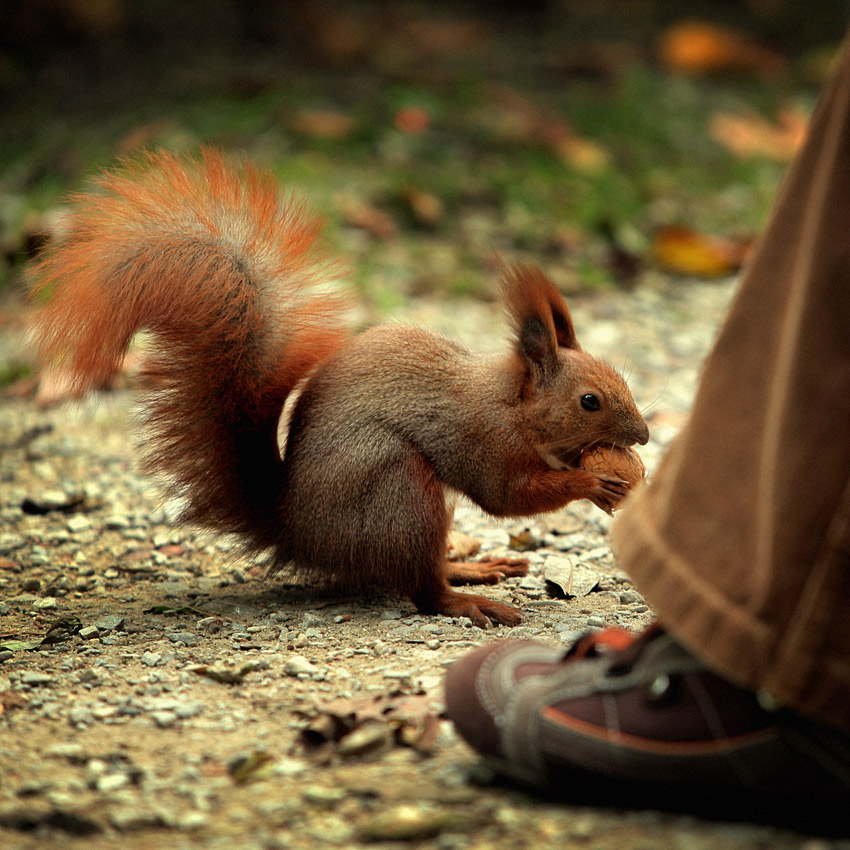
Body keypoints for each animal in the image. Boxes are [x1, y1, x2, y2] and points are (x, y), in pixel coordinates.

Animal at [29, 147, 644, 624]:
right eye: (589, 401)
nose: (641, 436)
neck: (513, 404)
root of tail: (297, 532)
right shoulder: (480, 437)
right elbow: (507, 495)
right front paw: (595, 485)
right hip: (396, 489)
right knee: (420, 587)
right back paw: (464, 600)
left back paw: (470, 566)